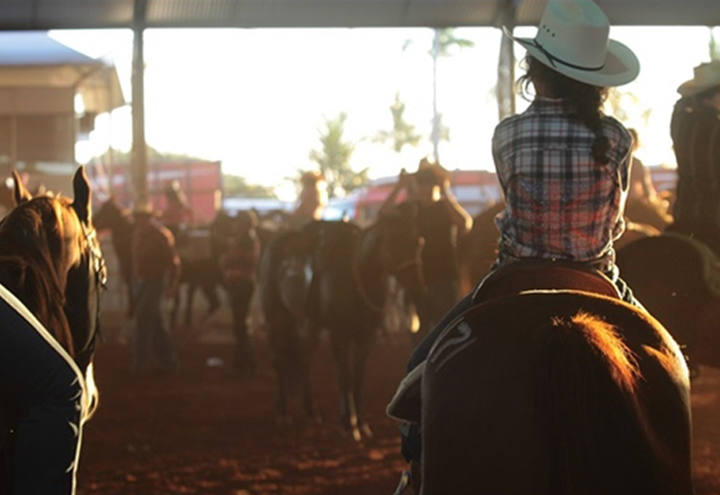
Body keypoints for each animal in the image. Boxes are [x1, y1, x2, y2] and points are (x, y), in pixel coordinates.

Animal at [260, 203, 424, 444]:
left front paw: (362, 424)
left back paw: (311, 412)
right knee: (280, 362)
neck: (359, 277)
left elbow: (357, 378)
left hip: (310, 326)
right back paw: (283, 414)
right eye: (395, 240)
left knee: (304, 359)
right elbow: (345, 377)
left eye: (418, 241)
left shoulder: (366, 338)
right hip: (277, 319)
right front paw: (350, 424)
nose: (418, 286)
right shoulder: (340, 336)